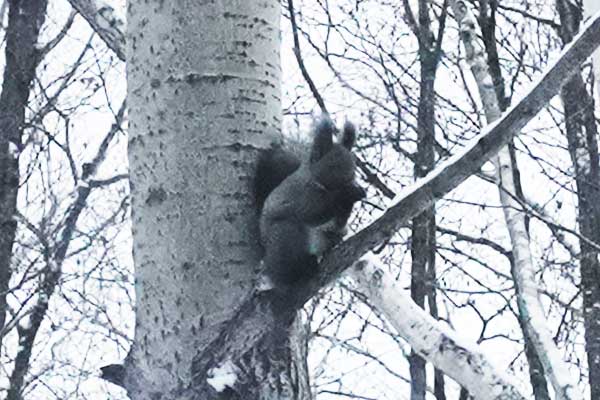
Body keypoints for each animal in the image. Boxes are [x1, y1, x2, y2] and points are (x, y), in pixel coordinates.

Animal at [254, 115, 366, 288]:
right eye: (332, 165)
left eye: (354, 169)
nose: (350, 183)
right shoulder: (300, 196)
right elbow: (312, 213)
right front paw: (348, 194)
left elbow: (339, 221)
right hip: (285, 237)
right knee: (284, 272)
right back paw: (301, 270)